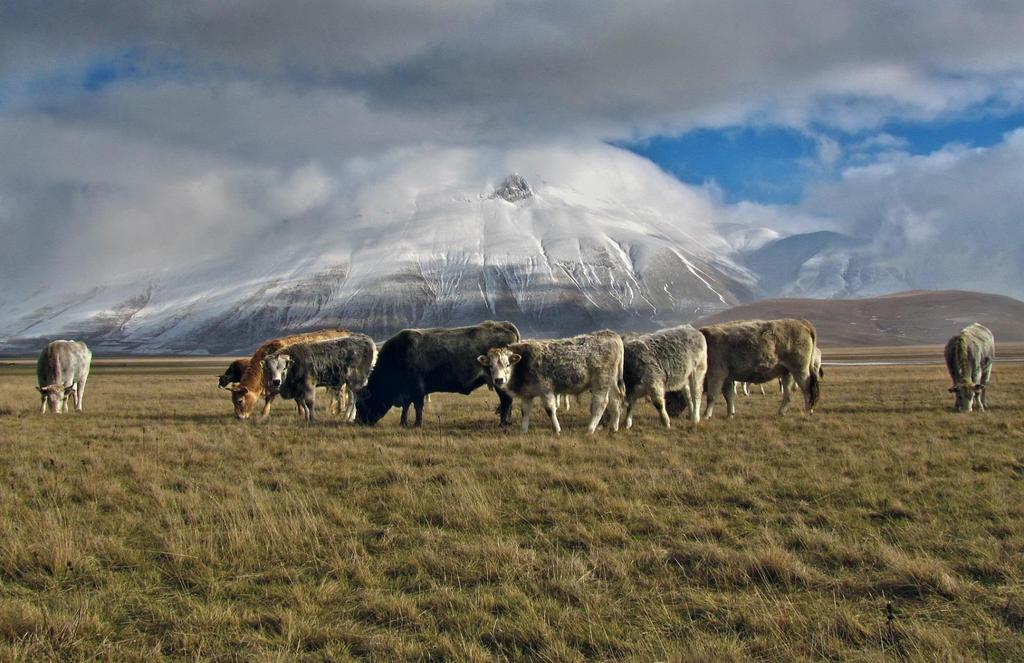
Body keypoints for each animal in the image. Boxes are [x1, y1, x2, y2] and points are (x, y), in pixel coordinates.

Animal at [358, 319, 520, 426]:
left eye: (362, 403)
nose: (359, 422)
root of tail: (504, 324)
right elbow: (406, 407)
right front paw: (403, 423)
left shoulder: (417, 390)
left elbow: (417, 407)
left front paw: (416, 424)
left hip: (499, 382)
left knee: (506, 401)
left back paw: (503, 423)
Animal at [477, 329, 622, 436]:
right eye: (490, 366)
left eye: (507, 364)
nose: (499, 380)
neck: (523, 363)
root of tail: (610, 334)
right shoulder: (527, 394)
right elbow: (525, 411)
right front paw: (523, 431)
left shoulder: (545, 389)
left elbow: (550, 410)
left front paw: (557, 430)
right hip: (611, 381)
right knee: (616, 400)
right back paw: (614, 428)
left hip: (601, 381)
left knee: (600, 403)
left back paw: (590, 429)